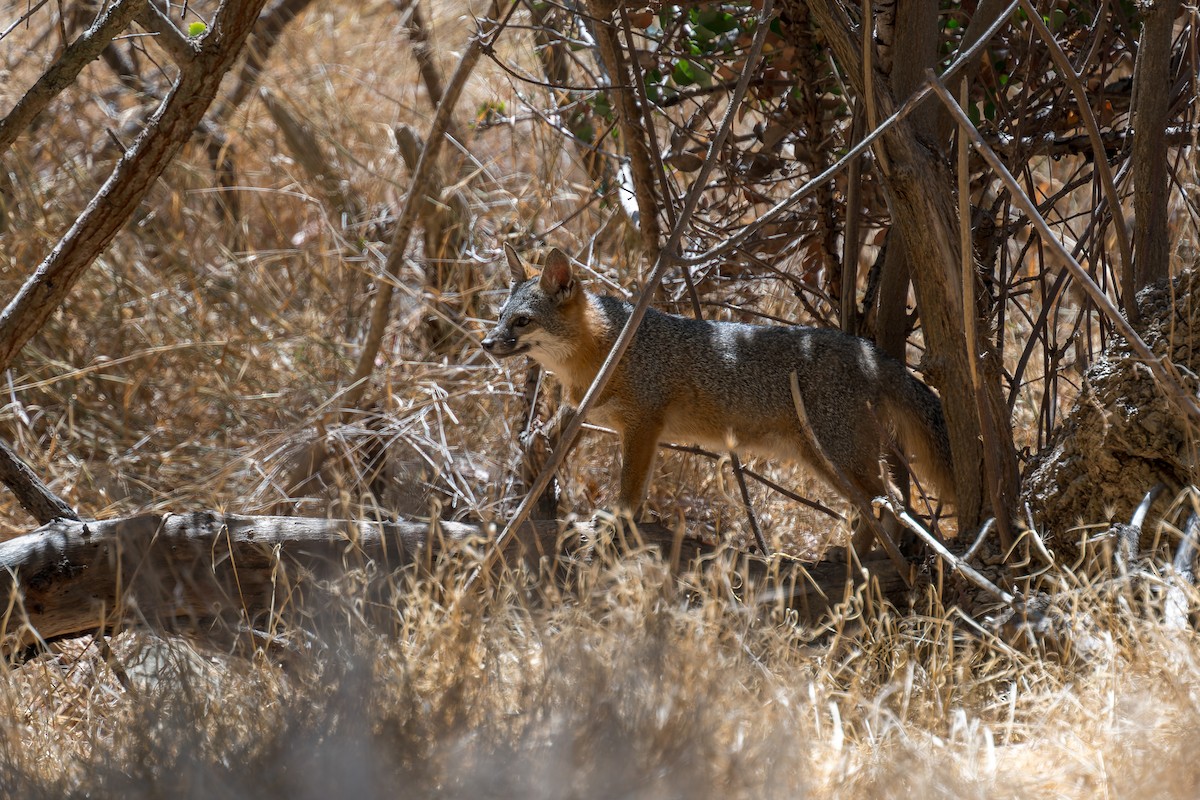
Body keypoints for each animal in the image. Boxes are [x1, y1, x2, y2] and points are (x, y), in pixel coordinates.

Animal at [482, 245, 956, 539]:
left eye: (522, 321)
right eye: (499, 315)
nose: (486, 343)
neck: (605, 351)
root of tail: (866, 349)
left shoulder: (643, 426)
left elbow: (631, 485)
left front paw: (620, 519)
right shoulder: (612, 420)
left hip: (839, 459)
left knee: (894, 503)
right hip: (828, 462)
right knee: (885, 504)